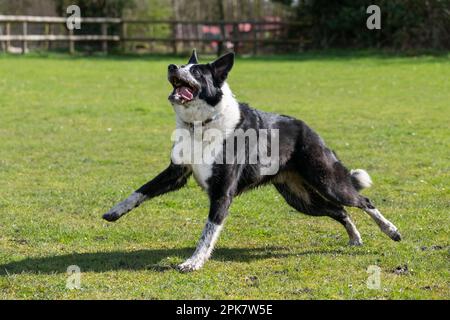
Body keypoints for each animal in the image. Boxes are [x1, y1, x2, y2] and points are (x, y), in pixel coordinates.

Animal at [103, 50, 402, 272]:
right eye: (184, 65)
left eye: (196, 72)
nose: (172, 65)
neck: (201, 124)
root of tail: (310, 130)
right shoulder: (177, 172)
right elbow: (140, 191)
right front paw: (114, 211)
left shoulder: (222, 193)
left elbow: (208, 232)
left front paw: (194, 262)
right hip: (300, 198)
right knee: (341, 211)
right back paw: (355, 238)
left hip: (327, 181)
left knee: (362, 201)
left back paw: (391, 230)